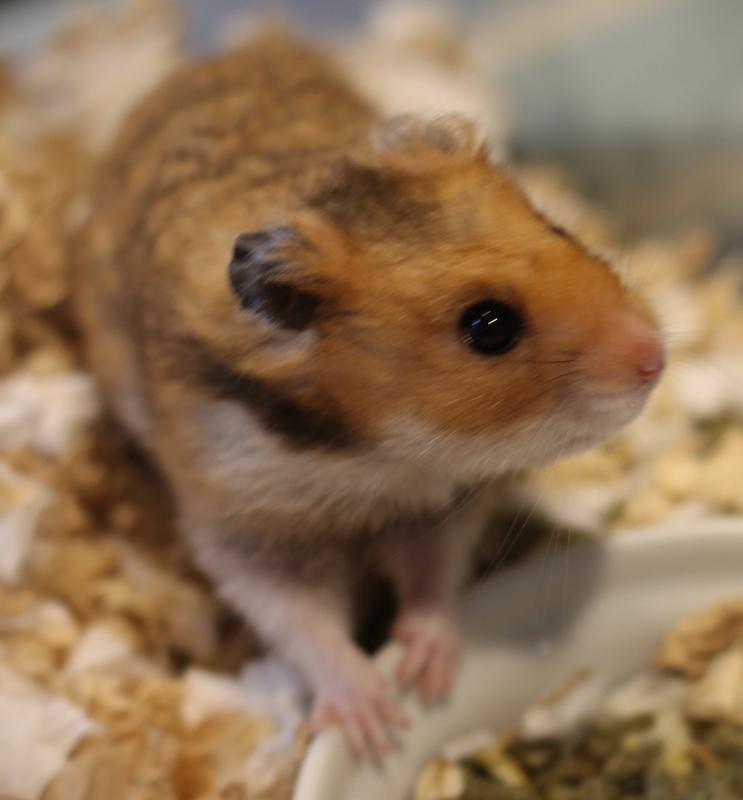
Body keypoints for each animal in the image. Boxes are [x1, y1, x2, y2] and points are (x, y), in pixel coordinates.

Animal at [74, 32, 664, 755]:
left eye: (556, 228)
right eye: (488, 326)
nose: (655, 356)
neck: (379, 453)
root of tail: (222, 52)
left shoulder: (442, 507)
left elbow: (431, 576)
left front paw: (426, 672)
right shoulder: (248, 530)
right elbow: (304, 621)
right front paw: (375, 722)